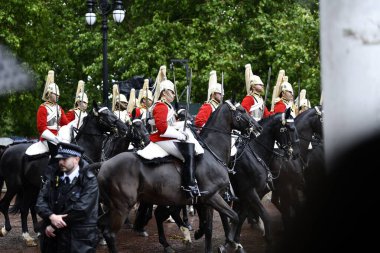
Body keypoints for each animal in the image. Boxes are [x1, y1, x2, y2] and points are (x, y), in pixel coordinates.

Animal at [96, 101, 262, 253]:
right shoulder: (212, 197)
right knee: (110, 233)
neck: (213, 153)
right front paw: (232, 243)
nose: (258, 128)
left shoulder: (207, 201)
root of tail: (103, 167)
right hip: (122, 207)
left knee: (101, 224)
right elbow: (230, 218)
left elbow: (212, 225)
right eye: (242, 111)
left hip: (117, 206)